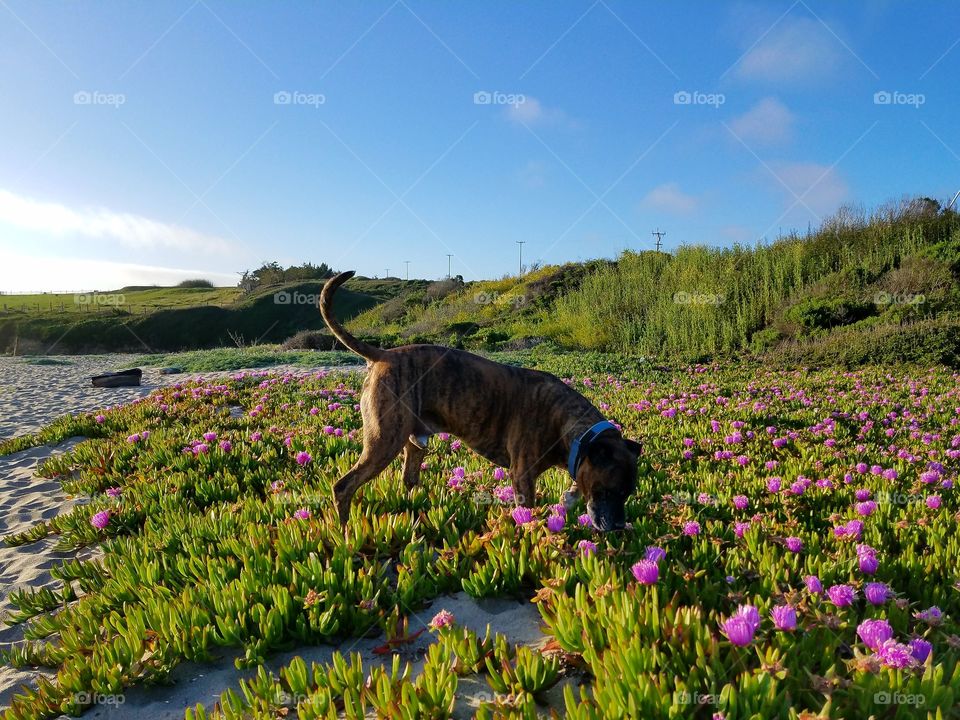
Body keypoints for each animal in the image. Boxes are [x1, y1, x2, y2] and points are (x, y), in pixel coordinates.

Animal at [318, 270, 640, 528]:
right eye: (608, 491)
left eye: (628, 493)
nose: (618, 527)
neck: (574, 431)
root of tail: (384, 354)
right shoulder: (523, 477)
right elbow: (528, 509)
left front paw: (569, 499)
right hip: (384, 441)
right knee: (344, 486)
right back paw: (345, 533)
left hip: (412, 441)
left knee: (408, 479)